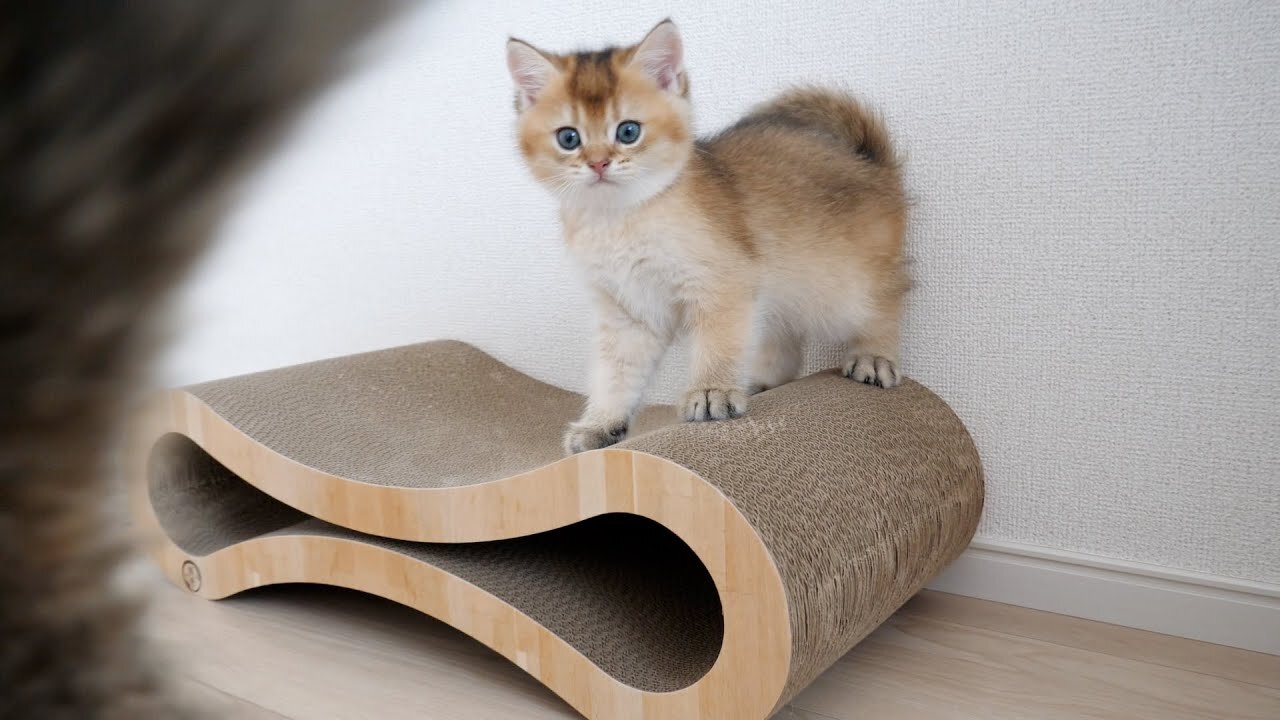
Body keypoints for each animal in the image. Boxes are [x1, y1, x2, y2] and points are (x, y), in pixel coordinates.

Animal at [509, 19, 911, 450]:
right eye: (569, 138)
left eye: (628, 131)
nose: (599, 163)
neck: (618, 221)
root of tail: (868, 160)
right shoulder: (628, 313)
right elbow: (615, 375)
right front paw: (601, 424)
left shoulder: (722, 284)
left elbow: (718, 345)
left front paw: (710, 392)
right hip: (779, 295)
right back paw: (762, 383)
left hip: (848, 287)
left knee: (884, 305)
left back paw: (873, 357)